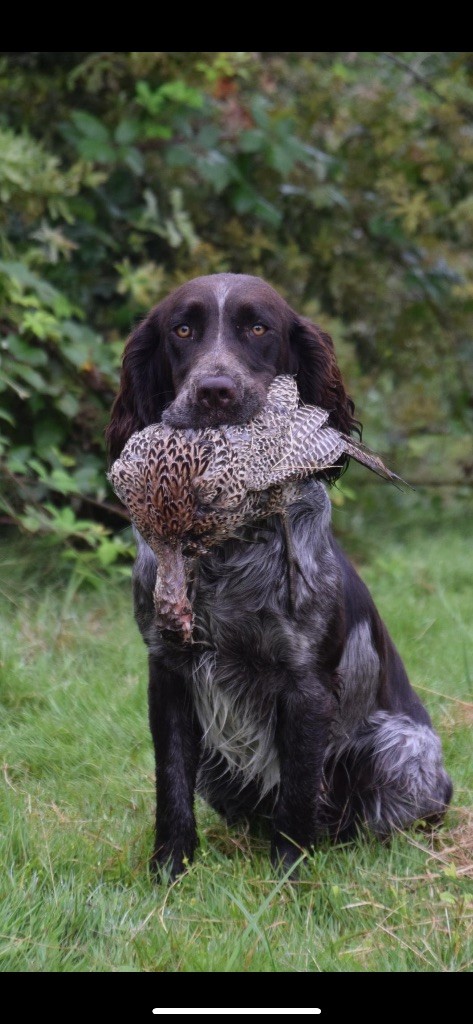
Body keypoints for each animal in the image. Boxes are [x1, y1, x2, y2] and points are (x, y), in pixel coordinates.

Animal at [105, 274, 452, 880]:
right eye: (183, 329)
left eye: (259, 329)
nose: (215, 392)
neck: (221, 554)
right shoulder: (167, 671)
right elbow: (170, 781)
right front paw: (170, 867)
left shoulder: (305, 685)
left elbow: (296, 789)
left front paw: (288, 874)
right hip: (218, 763)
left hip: (398, 748)